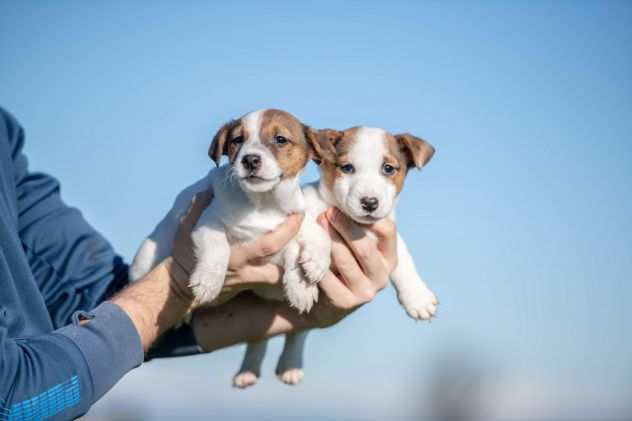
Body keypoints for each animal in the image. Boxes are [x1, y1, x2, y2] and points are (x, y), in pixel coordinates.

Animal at [130, 108, 324, 310]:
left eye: (280, 139)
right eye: (237, 140)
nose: (250, 160)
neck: (263, 202)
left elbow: (295, 248)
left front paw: (302, 287)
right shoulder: (209, 221)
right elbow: (217, 247)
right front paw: (208, 281)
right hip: (145, 256)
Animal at [233, 124, 440, 388]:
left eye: (388, 168)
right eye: (347, 168)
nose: (369, 202)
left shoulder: (389, 234)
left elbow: (403, 259)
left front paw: (418, 298)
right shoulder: (299, 214)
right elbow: (313, 230)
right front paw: (314, 260)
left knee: (296, 331)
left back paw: (290, 365)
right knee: (258, 338)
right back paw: (247, 371)